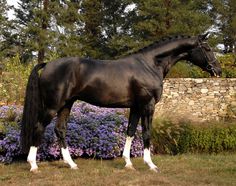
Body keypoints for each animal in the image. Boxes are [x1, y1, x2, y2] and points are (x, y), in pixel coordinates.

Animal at [20, 33, 221, 173]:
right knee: (38, 127)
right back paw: (33, 165)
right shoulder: (148, 105)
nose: (218, 70)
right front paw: (151, 165)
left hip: (66, 104)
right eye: (207, 48)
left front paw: (128, 163)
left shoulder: (135, 107)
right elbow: (146, 133)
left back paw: (72, 164)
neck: (150, 64)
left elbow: (130, 132)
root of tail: (48, 64)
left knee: (60, 129)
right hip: (52, 106)